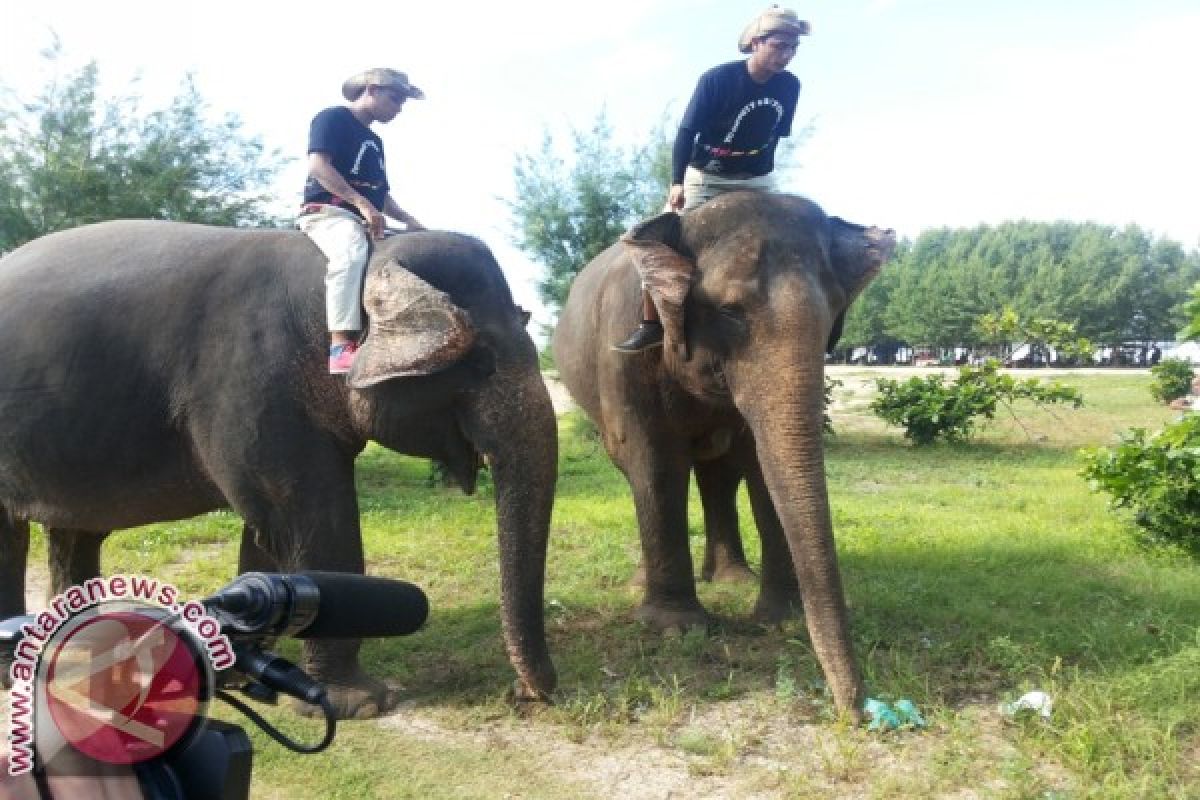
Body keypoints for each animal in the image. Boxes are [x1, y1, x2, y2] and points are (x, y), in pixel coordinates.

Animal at [0, 220, 559, 719]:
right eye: (482, 361)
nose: (526, 694)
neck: (356, 263)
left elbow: (268, 533)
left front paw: (248, 669)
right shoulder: (251, 387)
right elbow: (307, 519)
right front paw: (359, 703)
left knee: (70, 531)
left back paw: (76, 649)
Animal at [552, 191, 892, 719]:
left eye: (833, 317)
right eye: (730, 311)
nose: (855, 712)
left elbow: (760, 466)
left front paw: (781, 619)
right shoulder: (625, 357)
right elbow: (655, 464)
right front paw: (677, 629)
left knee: (719, 476)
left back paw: (732, 579)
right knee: (643, 473)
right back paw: (649, 584)